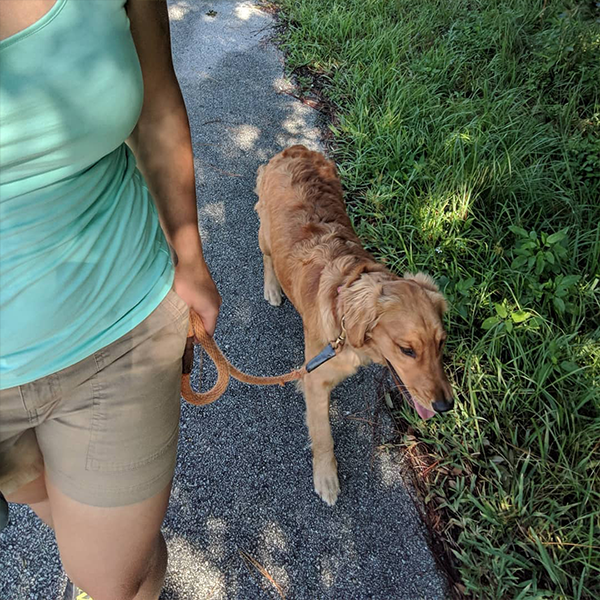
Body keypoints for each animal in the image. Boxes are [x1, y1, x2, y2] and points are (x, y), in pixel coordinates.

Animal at [254, 146, 454, 506]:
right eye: (407, 350)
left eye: (441, 343)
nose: (445, 406)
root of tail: (294, 148)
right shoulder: (315, 379)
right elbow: (323, 436)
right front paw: (326, 478)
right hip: (265, 232)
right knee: (267, 256)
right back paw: (272, 287)